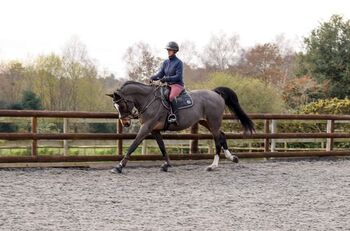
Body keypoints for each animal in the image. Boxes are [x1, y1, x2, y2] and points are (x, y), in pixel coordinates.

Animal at [106, 80, 254, 172]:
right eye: (115, 106)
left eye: (122, 105)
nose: (125, 123)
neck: (148, 100)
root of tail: (215, 93)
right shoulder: (154, 130)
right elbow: (162, 147)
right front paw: (167, 164)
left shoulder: (146, 128)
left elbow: (133, 145)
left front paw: (119, 166)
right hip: (206, 122)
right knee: (221, 136)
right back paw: (232, 158)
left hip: (213, 122)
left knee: (217, 139)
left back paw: (213, 166)